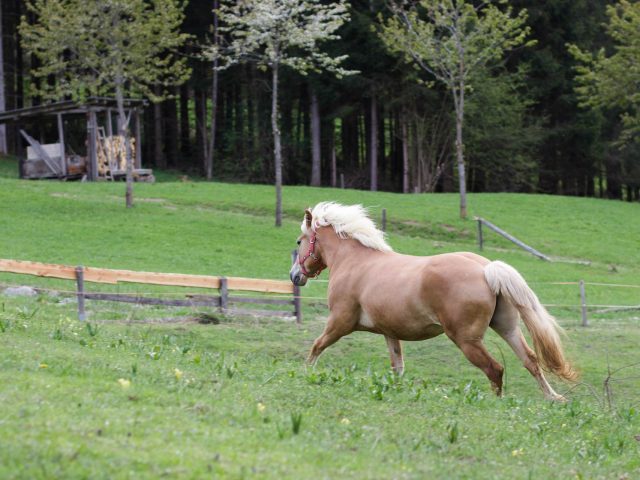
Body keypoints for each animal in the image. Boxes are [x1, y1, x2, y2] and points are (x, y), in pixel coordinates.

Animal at [288, 202, 576, 402]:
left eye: (299, 241)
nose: (294, 276)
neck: (354, 262)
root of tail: (486, 268)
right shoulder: (389, 332)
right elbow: (398, 368)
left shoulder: (340, 322)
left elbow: (316, 347)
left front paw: (305, 373)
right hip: (507, 328)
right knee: (530, 360)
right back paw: (554, 397)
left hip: (467, 340)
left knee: (495, 369)